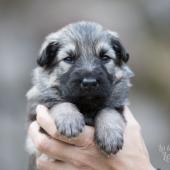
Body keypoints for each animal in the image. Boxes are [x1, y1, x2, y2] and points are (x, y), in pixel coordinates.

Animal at [25, 21, 133, 166]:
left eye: (105, 57)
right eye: (69, 59)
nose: (89, 83)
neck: (86, 105)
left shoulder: (117, 105)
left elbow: (109, 111)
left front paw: (110, 134)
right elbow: (61, 103)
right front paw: (69, 119)